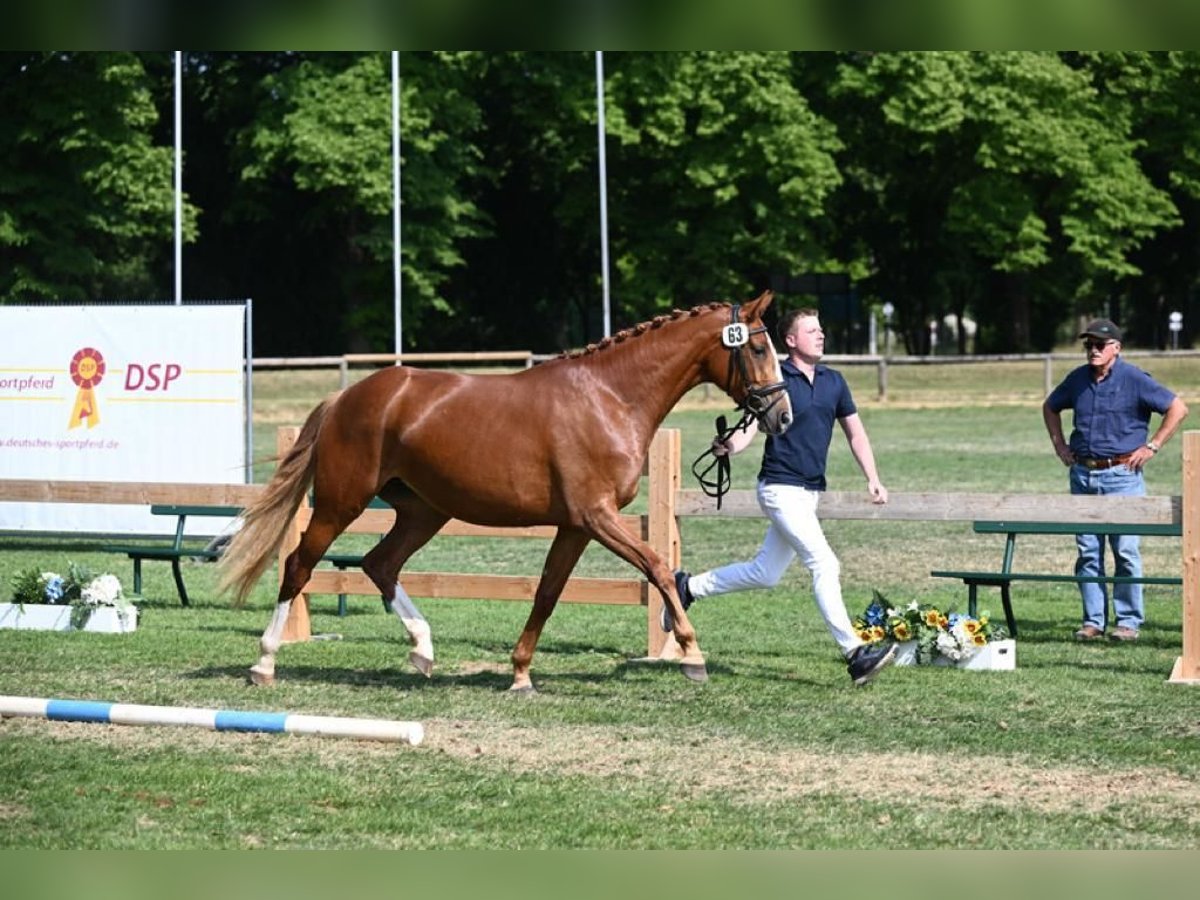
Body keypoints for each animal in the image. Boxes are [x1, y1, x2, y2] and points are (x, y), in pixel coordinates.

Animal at [220, 289, 792, 691]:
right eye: (757, 346)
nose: (782, 416)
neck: (610, 397)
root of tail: (344, 398)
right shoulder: (597, 517)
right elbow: (656, 566)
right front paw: (693, 655)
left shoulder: (577, 526)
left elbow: (548, 592)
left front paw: (520, 673)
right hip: (343, 503)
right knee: (299, 564)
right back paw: (265, 661)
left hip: (423, 511)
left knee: (380, 564)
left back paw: (423, 650)